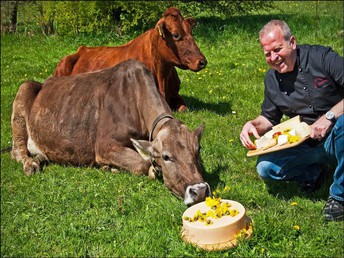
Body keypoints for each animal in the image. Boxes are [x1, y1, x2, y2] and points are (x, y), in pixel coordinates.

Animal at [11, 59, 210, 206]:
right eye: (167, 156)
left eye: (198, 150)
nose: (199, 191)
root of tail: (46, 81)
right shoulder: (105, 146)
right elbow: (143, 164)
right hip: (23, 92)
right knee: (17, 151)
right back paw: (30, 164)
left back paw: (40, 158)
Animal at [53, 6, 207, 112]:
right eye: (176, 35)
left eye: (191, 32)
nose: (202, 61)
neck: (162, 74)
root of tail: (82, 49)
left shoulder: (175, 94)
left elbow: (183, 108)